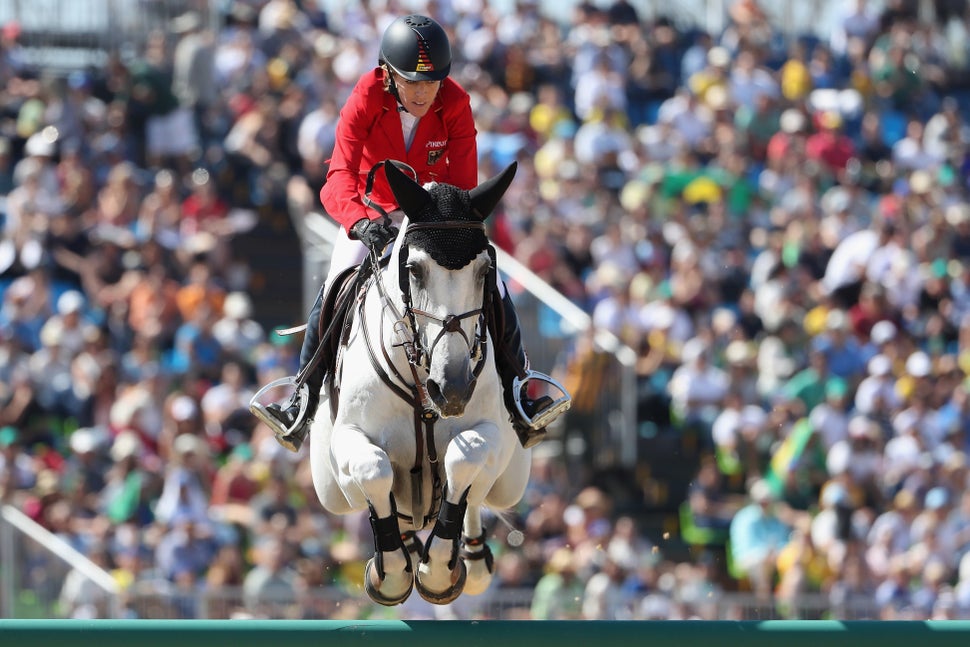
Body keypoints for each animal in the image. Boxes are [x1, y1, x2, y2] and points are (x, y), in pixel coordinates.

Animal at [308, 161, 531, 606]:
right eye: (414, 269)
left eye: (486, 271)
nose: (453, 389)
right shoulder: (347, 443)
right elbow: (373, 468)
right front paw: (392, 574)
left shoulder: (491, 433)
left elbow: (465, 459)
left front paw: (439, 572)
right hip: (331, 492)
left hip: (511, 481)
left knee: (478, 495)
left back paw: (472, 559)